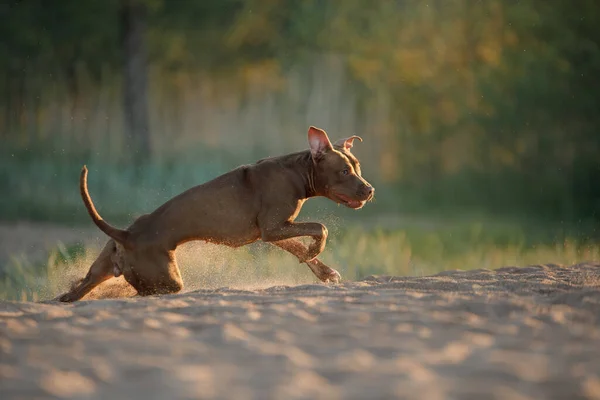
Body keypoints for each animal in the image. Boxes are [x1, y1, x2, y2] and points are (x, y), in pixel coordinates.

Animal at [57, 126, 376, 302]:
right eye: (344, 171)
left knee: (73, 294)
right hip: (165, 280)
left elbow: (298, 247)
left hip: (101, 270)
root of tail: (126, 234)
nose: (370, 189)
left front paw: (321, 269)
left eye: (358, 166)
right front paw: (314, 251)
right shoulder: (274, 227)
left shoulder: (272, 231)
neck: (298, 170)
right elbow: (320, 228)